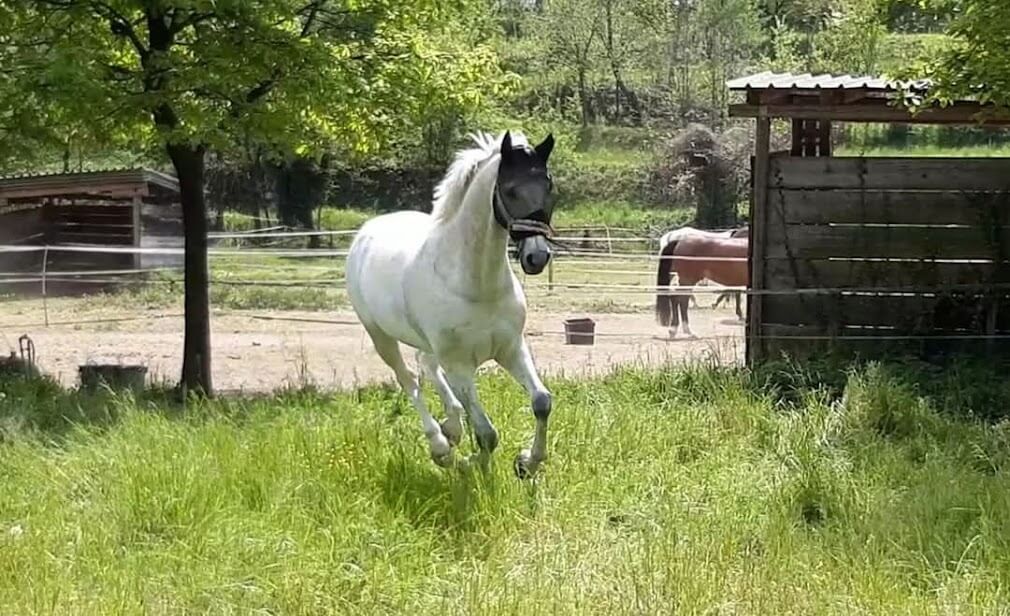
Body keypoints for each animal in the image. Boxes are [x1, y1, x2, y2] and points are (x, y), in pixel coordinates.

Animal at [346, 130, 557, 479]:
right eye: (510, 189)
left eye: (549, 186)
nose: (536, 257)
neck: (476, 285)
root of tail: (366, 231)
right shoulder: (459, 365)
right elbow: (486, 434)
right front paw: (470, 465)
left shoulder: (511, 348)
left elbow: (541, 401)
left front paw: (527, 462)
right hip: (381, 336)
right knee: (409, 380)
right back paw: (441, 446)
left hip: (428, 343)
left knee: (426, 366)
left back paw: (453, 428)